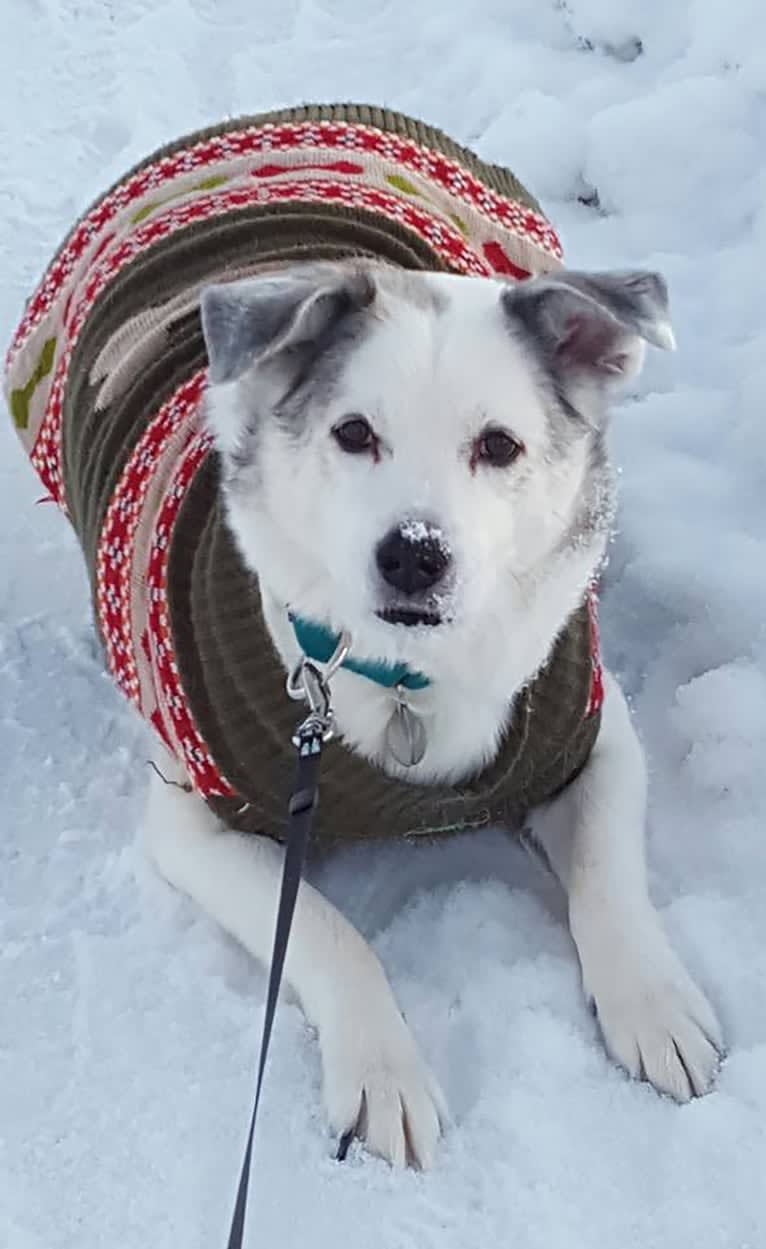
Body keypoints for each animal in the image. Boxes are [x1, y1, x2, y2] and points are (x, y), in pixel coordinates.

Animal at [5, 107, 719, 1169]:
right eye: (352, 433)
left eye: (499, 445)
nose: (414, 555)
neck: (409, 680)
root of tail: (280, 118)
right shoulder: (194, 818)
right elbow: (326, 932)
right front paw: (383, 1070)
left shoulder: (591, 729)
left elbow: (608, 872)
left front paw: (654, 1002)